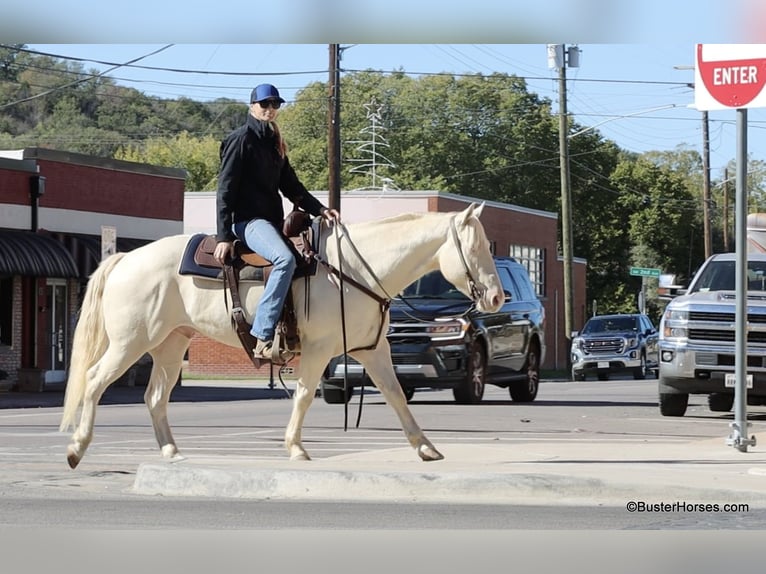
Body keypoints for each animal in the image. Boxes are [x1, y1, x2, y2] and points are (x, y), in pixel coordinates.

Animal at [60, 202, 504, 468]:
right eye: (476, 247)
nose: (498, 297)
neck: (354, 270)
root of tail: (123, 259)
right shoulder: (320, 350)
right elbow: (305, 395)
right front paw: (296, 447)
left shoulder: (372, 350)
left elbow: (396, 395)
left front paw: (426, 447)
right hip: (130, 343)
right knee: (94, 381)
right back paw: (76, 449)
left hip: (172, 343)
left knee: (154, 397)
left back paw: (172, 453)